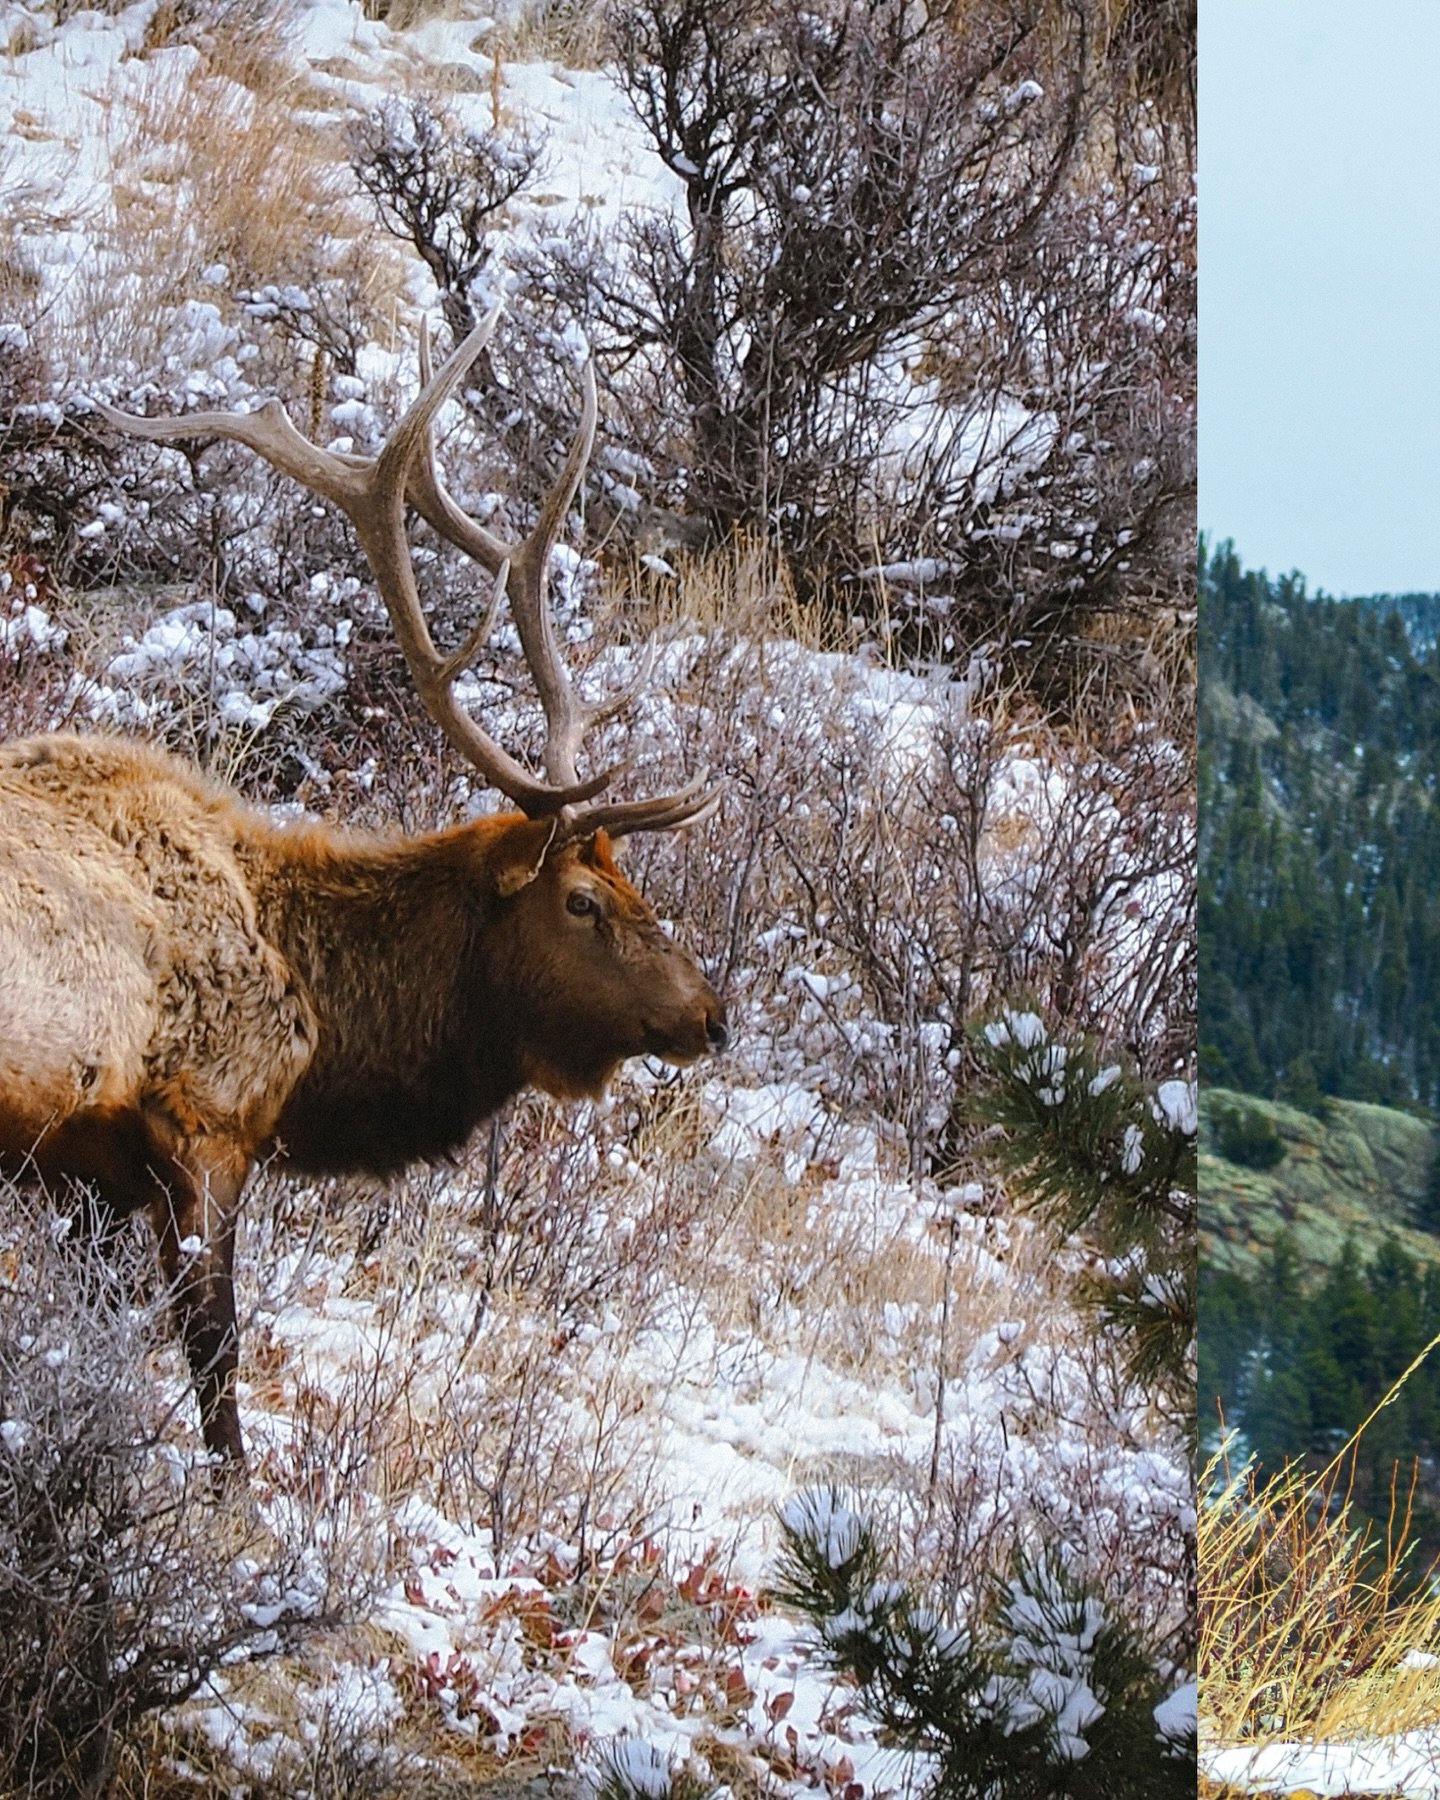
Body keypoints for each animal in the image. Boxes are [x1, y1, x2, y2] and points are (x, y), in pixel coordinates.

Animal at [0, 307, 727, 1473]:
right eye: (582, 899)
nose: (712, 1013)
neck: (320, 1030)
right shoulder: (200, 1125)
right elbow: (216, 1360)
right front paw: (233, 1497)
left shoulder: (86, 1175)